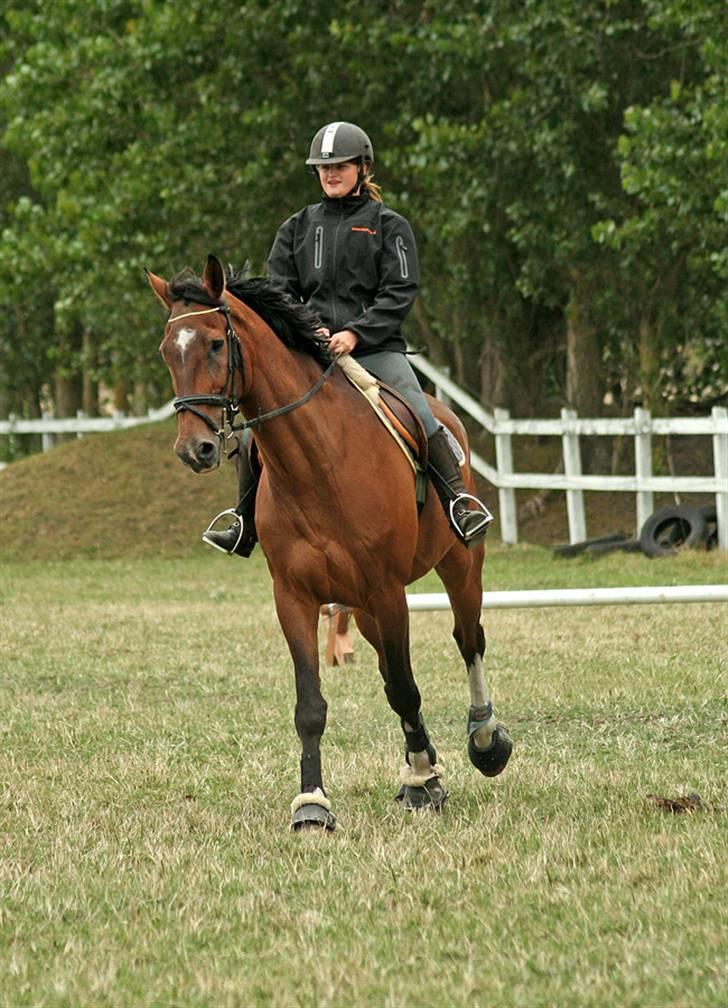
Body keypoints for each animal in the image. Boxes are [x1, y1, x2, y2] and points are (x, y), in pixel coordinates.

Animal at [147, 256, 510, 830]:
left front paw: (427, 778)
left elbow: (404, 687)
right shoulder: (294, 597)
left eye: (215, 344)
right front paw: (313, 802)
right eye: (167, 350)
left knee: (467, 639)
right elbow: (313, 704)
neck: (317, 463)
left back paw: (484, 742)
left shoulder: (387, 590)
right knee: (389, 665)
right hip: (362, 608)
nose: (195, 449)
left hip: (458, 566)